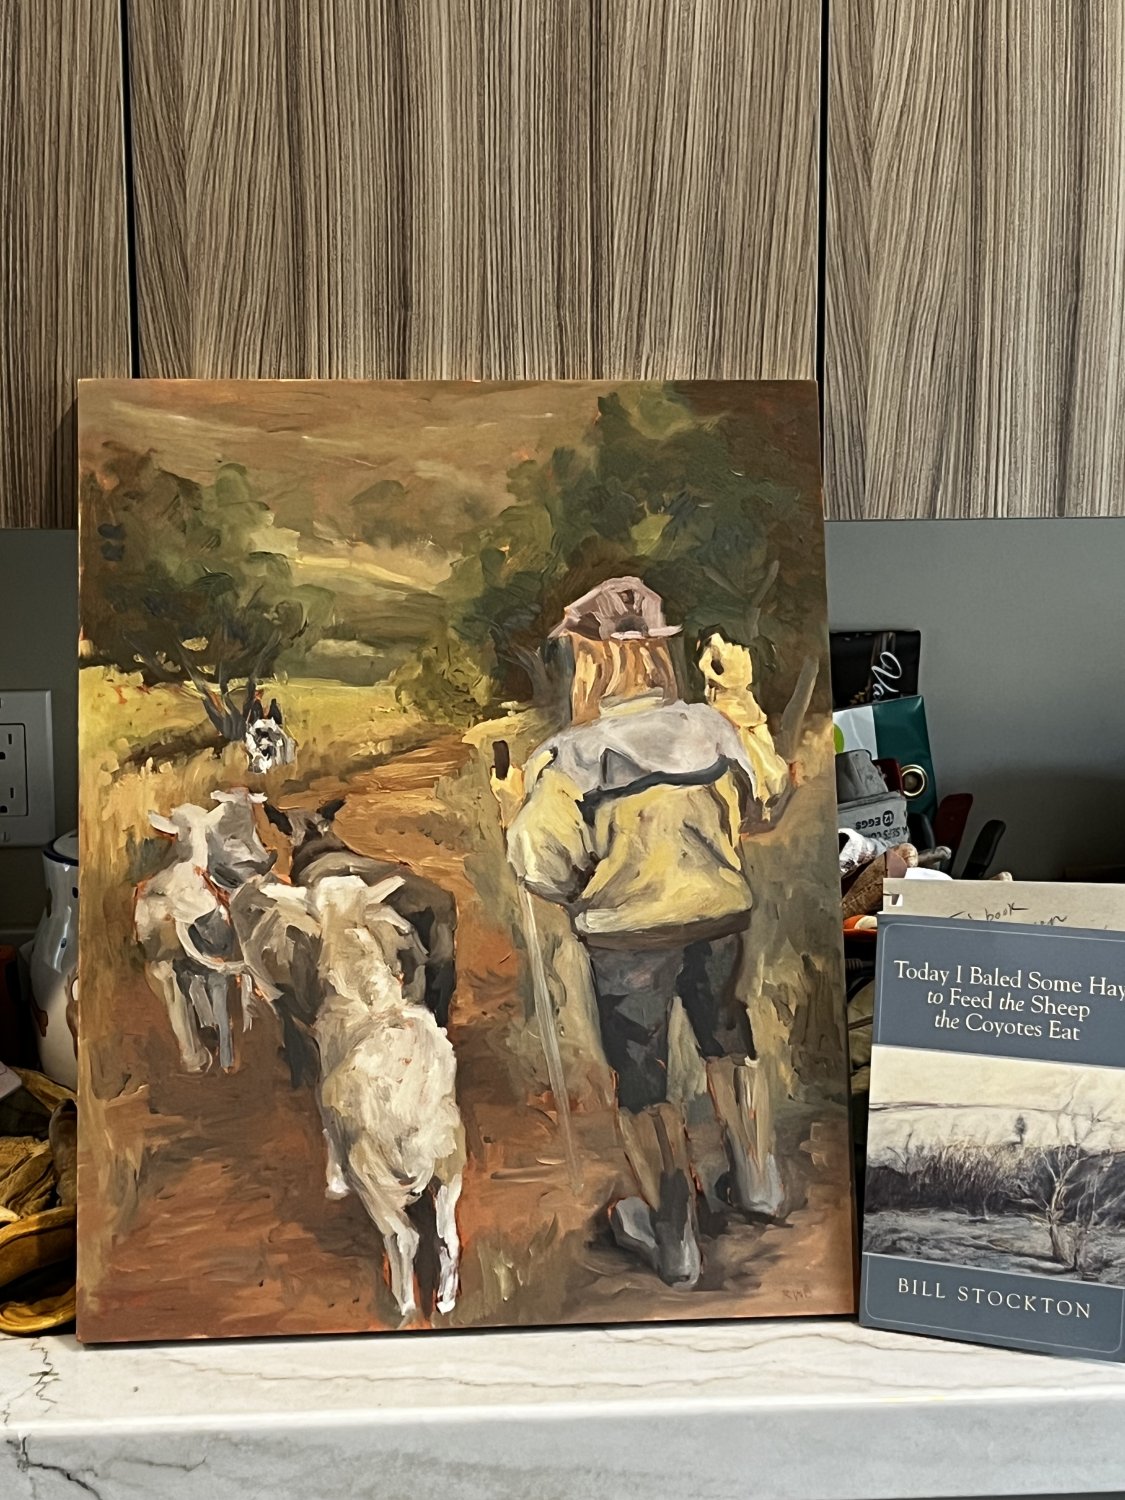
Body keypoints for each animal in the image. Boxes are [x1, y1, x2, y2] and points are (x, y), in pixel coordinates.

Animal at [134, 788, 277, 1072]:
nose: (266, 861)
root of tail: (177, 910)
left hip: (160, 961)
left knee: (176, 996)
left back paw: (196, 1058)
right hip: (207, 957)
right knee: (215, 993)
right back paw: (220, 1057)